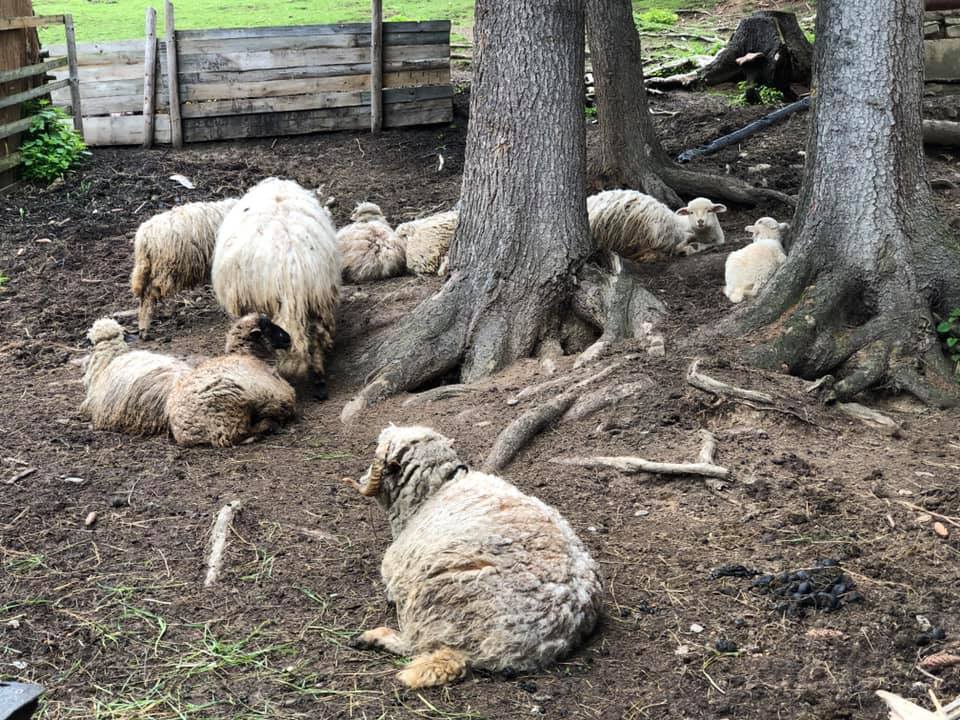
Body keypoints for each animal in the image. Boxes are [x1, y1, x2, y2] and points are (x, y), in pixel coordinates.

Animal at [130, 198, 238, 339]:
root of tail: (144, 239)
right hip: (165, 269)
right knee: (149, 296)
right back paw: (145, 329)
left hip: (146, 269)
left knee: (143, 296)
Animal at [167, 313, 297, 447]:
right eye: (267, 329)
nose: (288, 338)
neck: (248, 355)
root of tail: (185, 434)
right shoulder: (280, 392)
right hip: (229, 410)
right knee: (236, 435)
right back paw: (266, 426)